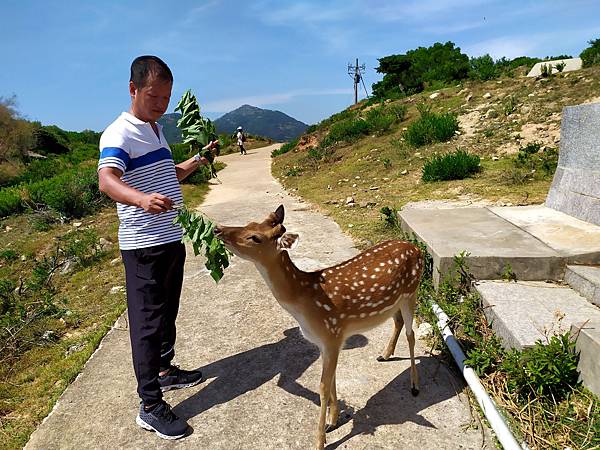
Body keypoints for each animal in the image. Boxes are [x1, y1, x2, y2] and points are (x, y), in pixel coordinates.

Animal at [213, 206, 424, 448]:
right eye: (249, 223)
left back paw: (415, 385)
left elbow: (323, 387)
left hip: (412, 290)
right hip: (395, 301)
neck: (304, 301)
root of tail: (417, 248)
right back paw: (385, 354)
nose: (217, 229)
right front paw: (333, 421)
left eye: (255, 237)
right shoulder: (324, 342)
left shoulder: (333, 334)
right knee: (398, 322)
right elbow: (331, 380)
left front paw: (320, 440)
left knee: (411, 334)